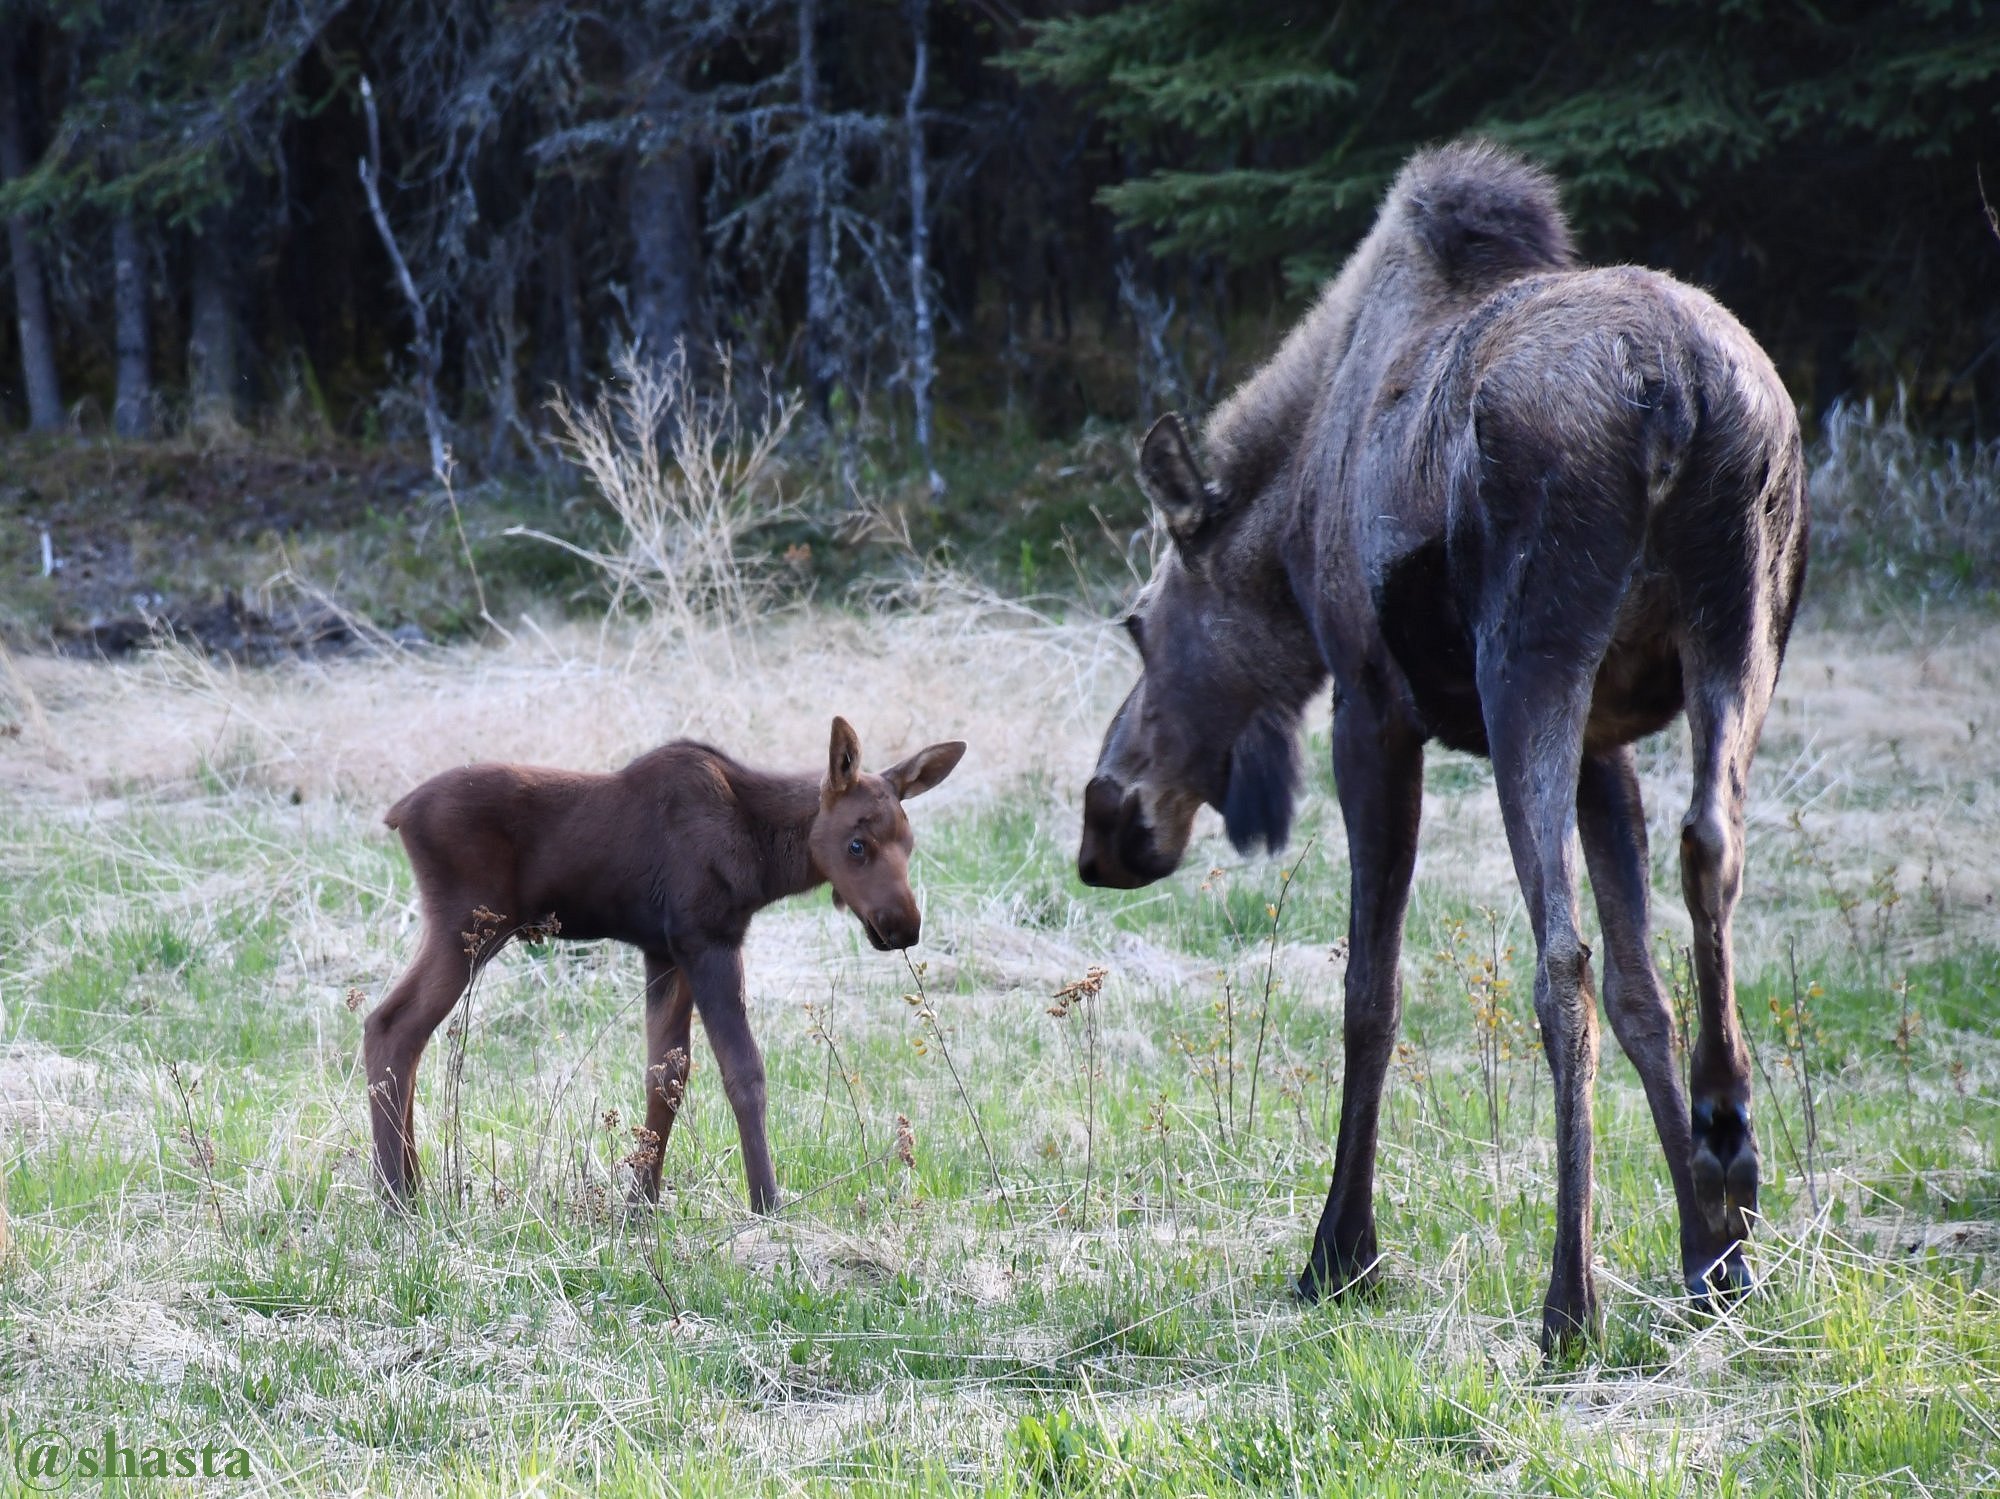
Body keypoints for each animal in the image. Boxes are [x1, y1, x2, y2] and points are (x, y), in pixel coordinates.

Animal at [364, 723, 964, 1215]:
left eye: (909, 843)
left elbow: (666, 1076)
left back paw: (412, 1185)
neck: (765, 855)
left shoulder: (665, 951)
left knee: (402, 1036)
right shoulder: (707, 939)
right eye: (857, 844)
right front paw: (767, 1201)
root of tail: (397, 813)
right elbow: (743, 1072)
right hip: (468, 925)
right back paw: (397, 1196)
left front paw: (641, 1204)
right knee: (391, 1025)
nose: (903, 926)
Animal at [1088, 140, 1808, 1351]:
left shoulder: (1370, 709)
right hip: (1738, 626)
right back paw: (1729, 1140)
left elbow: (1367, 992)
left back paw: (1568, 1300)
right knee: (1711, 851)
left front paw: (1340, 1250)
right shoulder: (1609, 746)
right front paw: (1708, 1252)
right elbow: (1642, 991)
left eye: (1140, 622)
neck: (1292, 522)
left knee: (1556, 959)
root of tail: (1675, 393)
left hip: (1528, 657)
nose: (1104, 823)